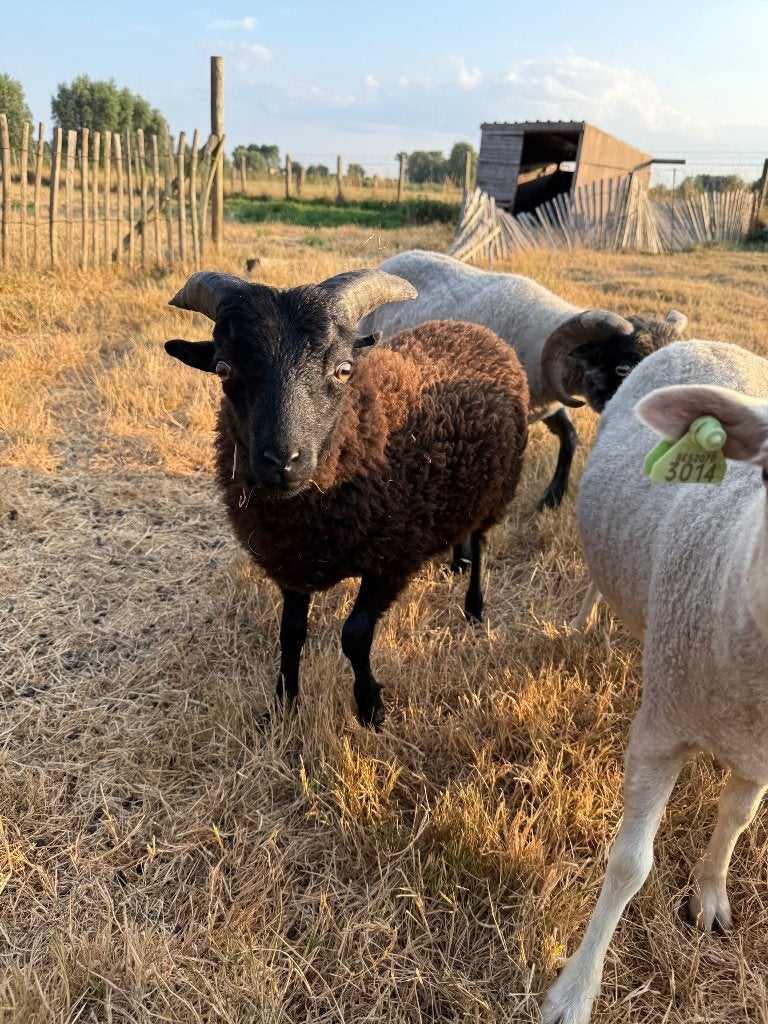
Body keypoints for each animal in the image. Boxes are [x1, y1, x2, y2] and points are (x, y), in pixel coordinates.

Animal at [164, 269, 529, 728]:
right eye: (223, 368)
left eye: (343, 370)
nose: (282, 461)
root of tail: (473, 328)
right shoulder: (291, 561)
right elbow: (291, 634)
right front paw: (282, 705)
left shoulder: (391, 558)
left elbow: (355, 635)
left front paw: (370, 707)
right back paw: (456, 561)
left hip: (497, 488)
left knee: (481, 544)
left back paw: (474, 606)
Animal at [540, 338, 768, 1024]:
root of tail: (710, 340)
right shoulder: (660, 733)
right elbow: (629, 866)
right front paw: (575, 991)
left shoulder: (759, 755)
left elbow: (737, 819)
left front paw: (710, 894)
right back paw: (583, 624)